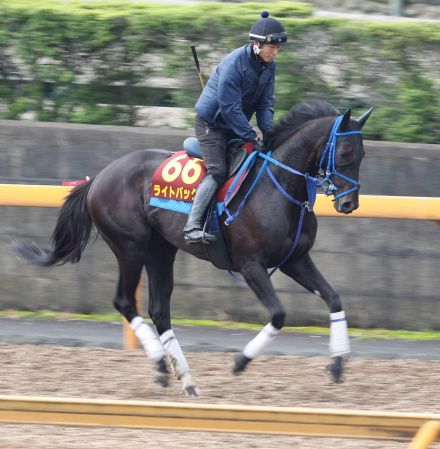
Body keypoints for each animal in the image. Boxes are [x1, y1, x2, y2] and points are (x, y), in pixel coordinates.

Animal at [11, 100, 372, 396]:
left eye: (362, 154)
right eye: (344, 152)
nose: (349, 203)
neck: (278, 186)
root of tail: (98, 178)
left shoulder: (294, 259)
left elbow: (334, 298)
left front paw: (338, 364)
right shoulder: (251, 265)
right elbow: (279, 314)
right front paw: (240, 361)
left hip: (160, 251)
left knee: (159, 310)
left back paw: (184, 377)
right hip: (130, 247)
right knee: (125, 301)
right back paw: (162, 364)